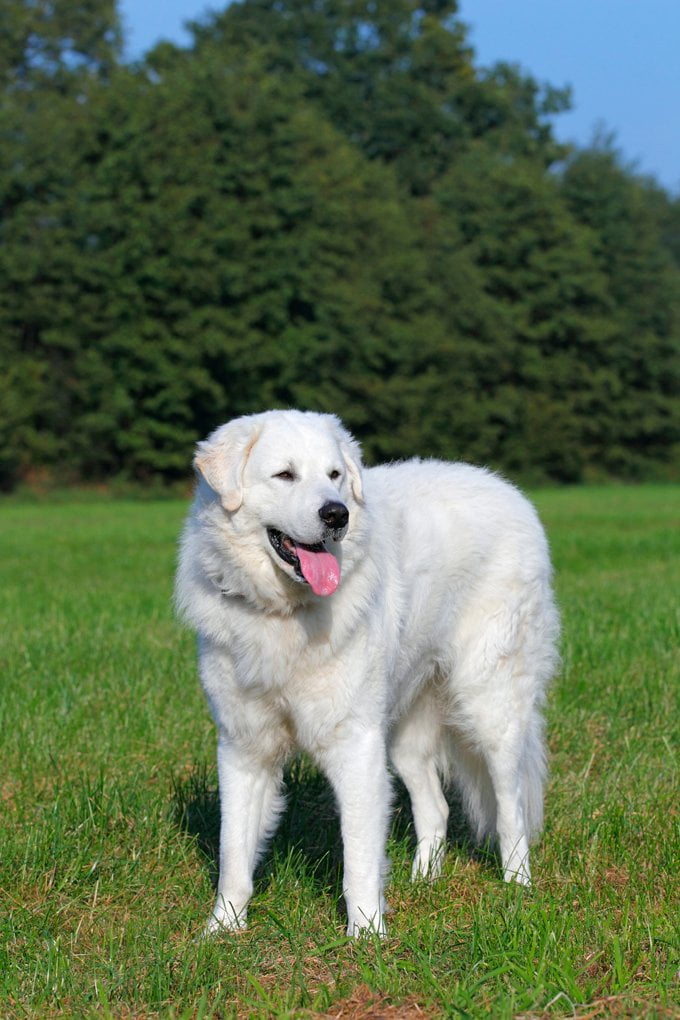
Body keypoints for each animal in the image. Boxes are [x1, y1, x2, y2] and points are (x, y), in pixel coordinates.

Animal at [174, 410, 558, 934]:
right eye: (285, 475)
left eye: (335, 475)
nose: (337, 514)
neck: (284, 616)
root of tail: (507, 489)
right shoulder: (244, 746)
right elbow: (234, 850)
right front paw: (223, 929)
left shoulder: (354, 744)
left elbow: (357, 855)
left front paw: (367, 934)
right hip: (403, 729)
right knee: (436, 807)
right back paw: (424, 881)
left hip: (489, 707)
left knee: (510, 807)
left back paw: (518, 888)